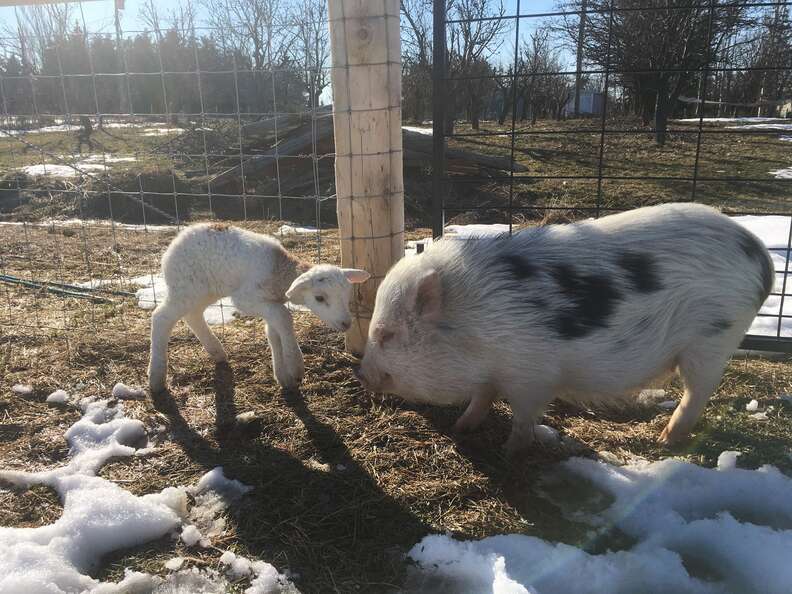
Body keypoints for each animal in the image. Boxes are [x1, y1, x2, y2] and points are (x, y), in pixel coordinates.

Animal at [148, 222, 372, 394]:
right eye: (319, 298)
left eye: (346, 295)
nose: (346, 323)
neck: (278, 273)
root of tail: (176, 241)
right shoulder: (246, 298)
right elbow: (284, 318)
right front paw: (295, 366)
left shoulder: (271, 302)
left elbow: (274, 332)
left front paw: (283, 376)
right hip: (184, 285)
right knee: (161, 318)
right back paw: (156, 378)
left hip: (205, 290)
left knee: (193, 315)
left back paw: (217, 352)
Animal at [354, 201, 772, 450]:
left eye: (387, 334)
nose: (360, 372)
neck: (479, 322)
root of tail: (760, 255)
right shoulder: (494, 375)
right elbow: (482, 397)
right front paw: (462, 428)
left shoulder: (533, 376)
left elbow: (523, 417)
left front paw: (510, 451)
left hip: (713, 340)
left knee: (698, 392)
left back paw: (665, 440)